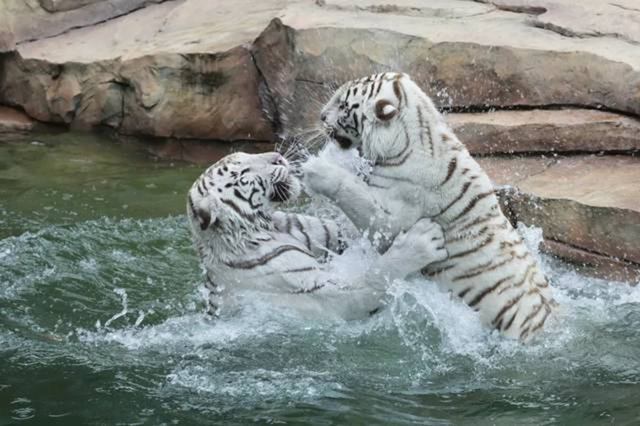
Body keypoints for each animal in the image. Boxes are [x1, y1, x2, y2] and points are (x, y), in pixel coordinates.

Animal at [185, 150, 448, 320]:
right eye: (243, 174)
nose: (278, 157)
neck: (265, 228)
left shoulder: (326, 233)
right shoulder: (325, 298)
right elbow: (374, 277)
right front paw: (421, 242)